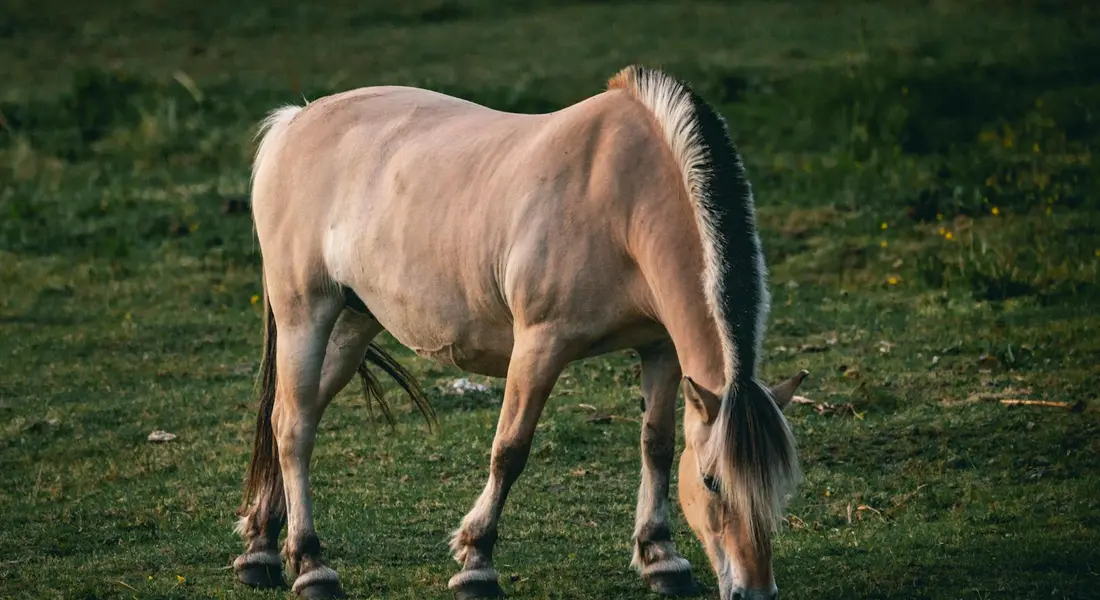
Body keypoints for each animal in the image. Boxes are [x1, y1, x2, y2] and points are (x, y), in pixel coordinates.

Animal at [232, 64, 808, 600]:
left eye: (781, 484)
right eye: (712, 482)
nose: (756, 590)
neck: (624, 200)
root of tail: (295, 121)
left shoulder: (660, 349)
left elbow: (658, 445)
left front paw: (660, 557)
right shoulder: (539, 345)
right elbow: (510, 450)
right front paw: (476, 561)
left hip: (352, 324)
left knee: (292, 414)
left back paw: (262, 549)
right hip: (306, 314)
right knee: (294, 428)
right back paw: (310, 564)